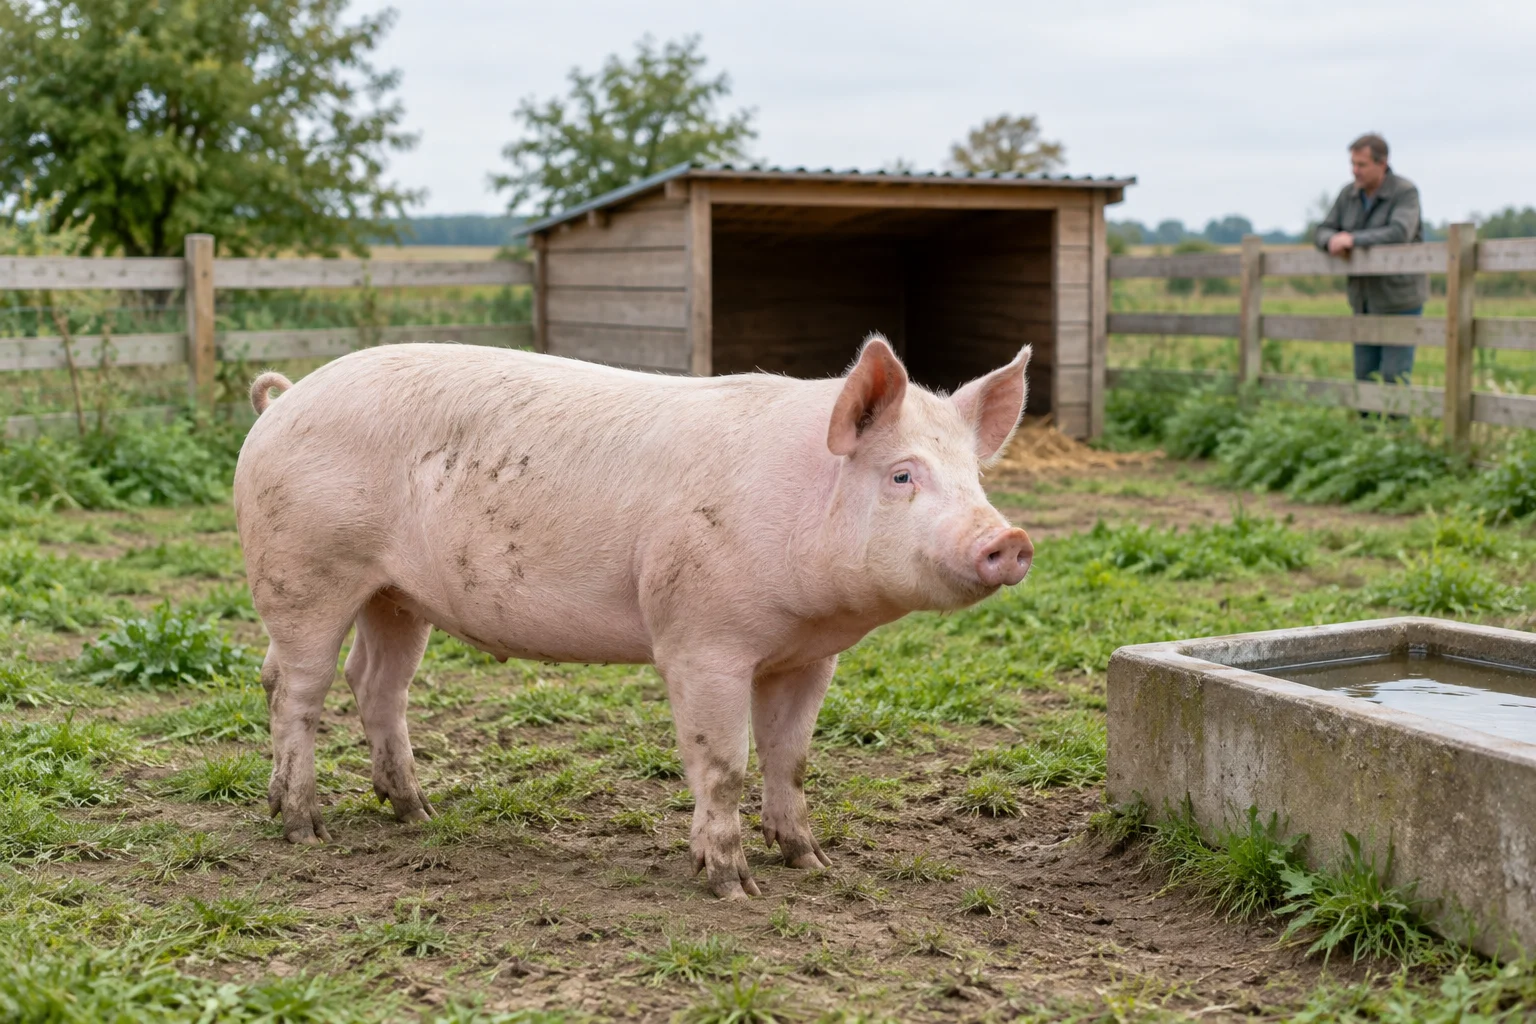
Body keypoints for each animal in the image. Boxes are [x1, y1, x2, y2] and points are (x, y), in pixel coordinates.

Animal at [234, 336, 1033, 898]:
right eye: (902, 474)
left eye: (975, 478)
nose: (1010, 539)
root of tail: (282, 402)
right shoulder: (701, 640)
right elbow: (723, 763)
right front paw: (732, 887)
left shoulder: (810, 656)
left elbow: (792, 758)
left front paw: (813, 863)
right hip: (305, 570)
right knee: (296, 687)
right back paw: (304, 828)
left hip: (396, 595)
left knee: (375, 685)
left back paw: (417, 814)